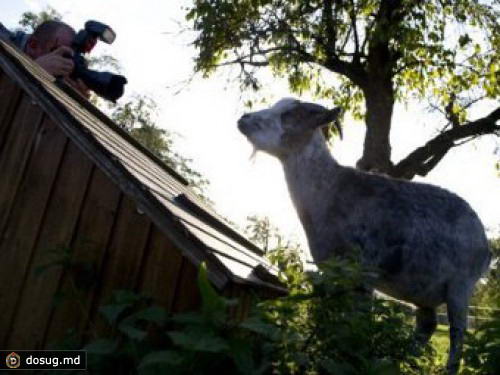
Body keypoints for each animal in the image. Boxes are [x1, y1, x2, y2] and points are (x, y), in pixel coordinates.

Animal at [236, 98, 490, 374]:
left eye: (290, 114)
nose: (243, 120)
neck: (331, 191)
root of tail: (486, 246)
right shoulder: (334, 273)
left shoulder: (362, 272)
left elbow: (357, 322)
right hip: (422, 288)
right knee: (427, 323)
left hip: (460, 286)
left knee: (458, 333)